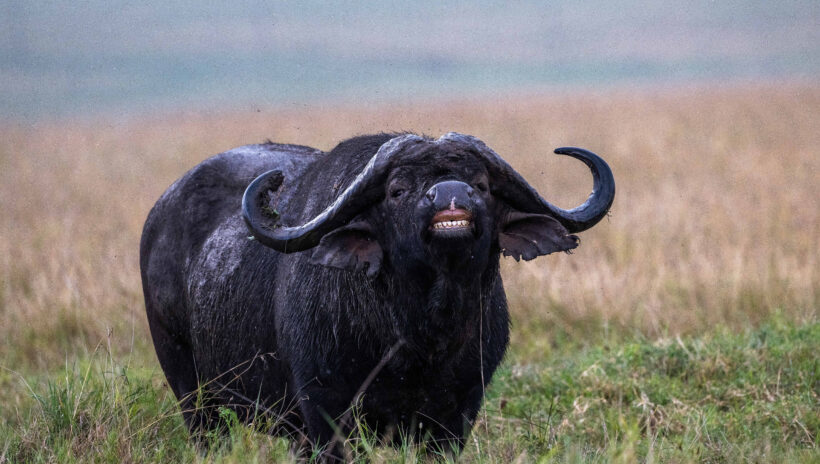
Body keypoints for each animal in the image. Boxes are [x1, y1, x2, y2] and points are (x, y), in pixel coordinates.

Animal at [139, 132, 614, 459]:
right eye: (397, 189)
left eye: (479, 183)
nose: (451, 194)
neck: (419, 337)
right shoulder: (326, 415)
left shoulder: (455, 416)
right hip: (194, 397)